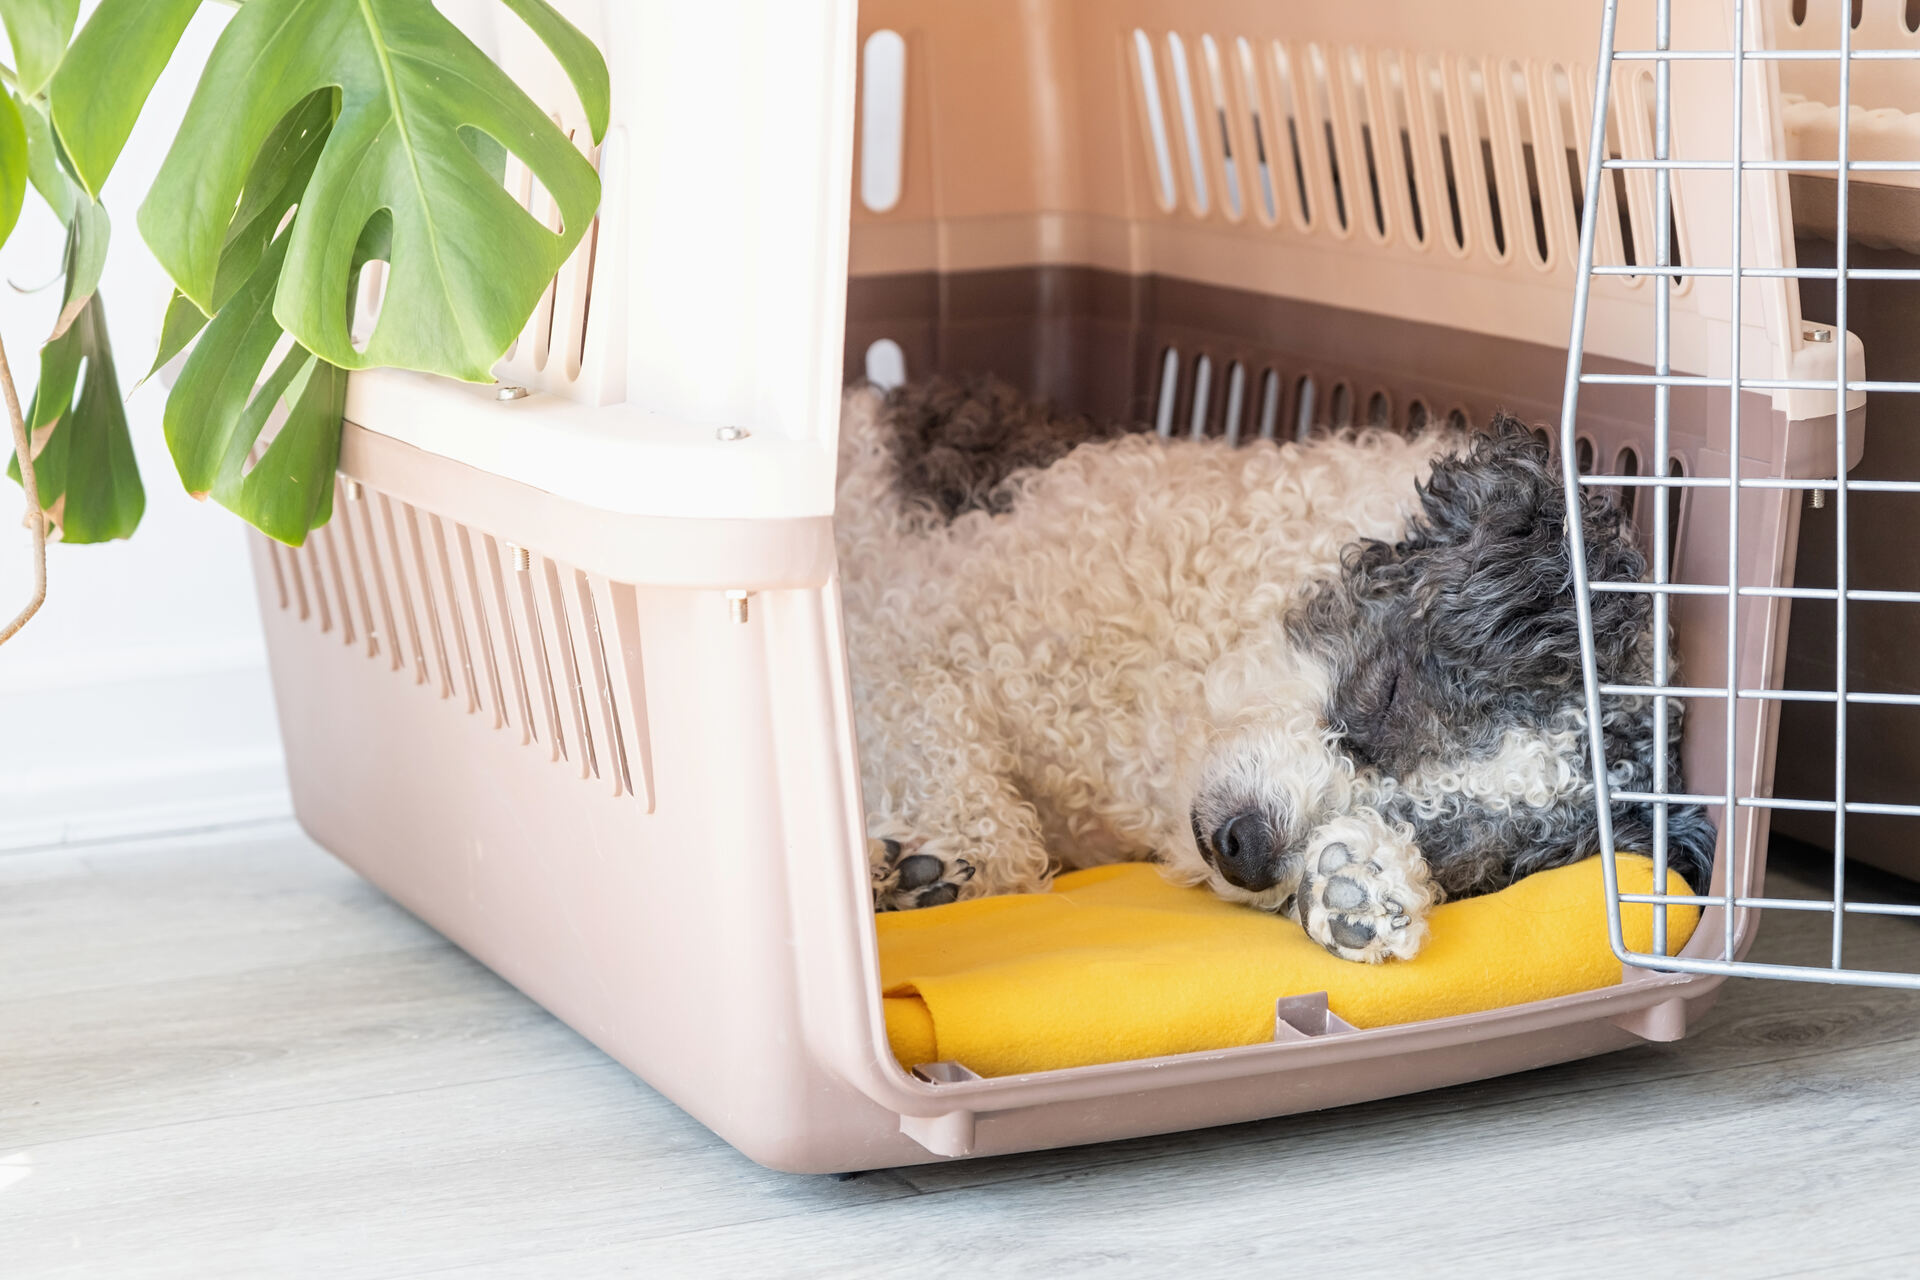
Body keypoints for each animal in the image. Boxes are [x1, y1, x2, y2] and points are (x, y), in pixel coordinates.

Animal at [833, 378, 1720, 959]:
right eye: (1386, 694)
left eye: (1453, 855)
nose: (1245, 848)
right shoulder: (887, 651)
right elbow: (964, 765)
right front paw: (942, 863)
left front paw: (1361, 885)